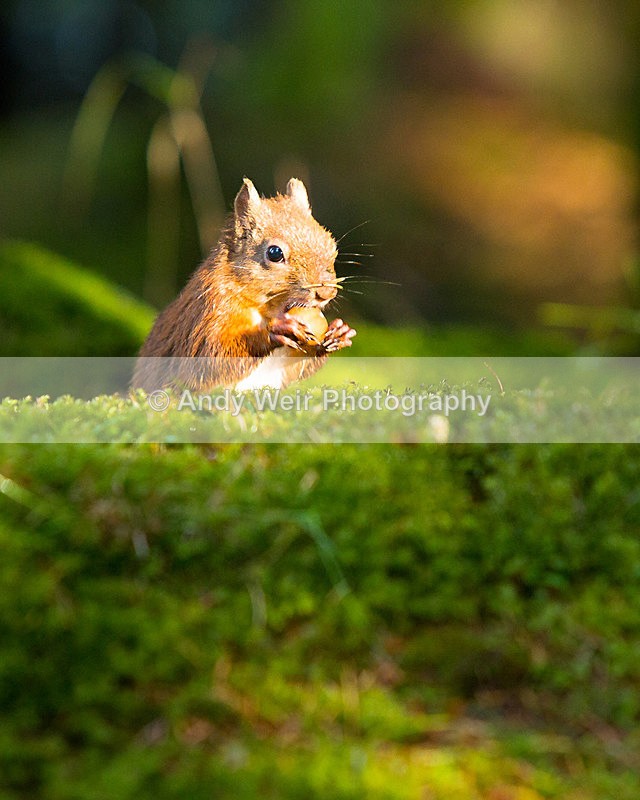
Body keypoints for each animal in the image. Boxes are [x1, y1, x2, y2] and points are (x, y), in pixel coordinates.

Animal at [132, 177, 356, 392]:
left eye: (331, 245)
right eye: (275, 253)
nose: (326, 293)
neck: (267, 311)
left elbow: (295, 371)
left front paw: (339, 331)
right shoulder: (207, 314)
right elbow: (209, 359)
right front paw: (277, 332)